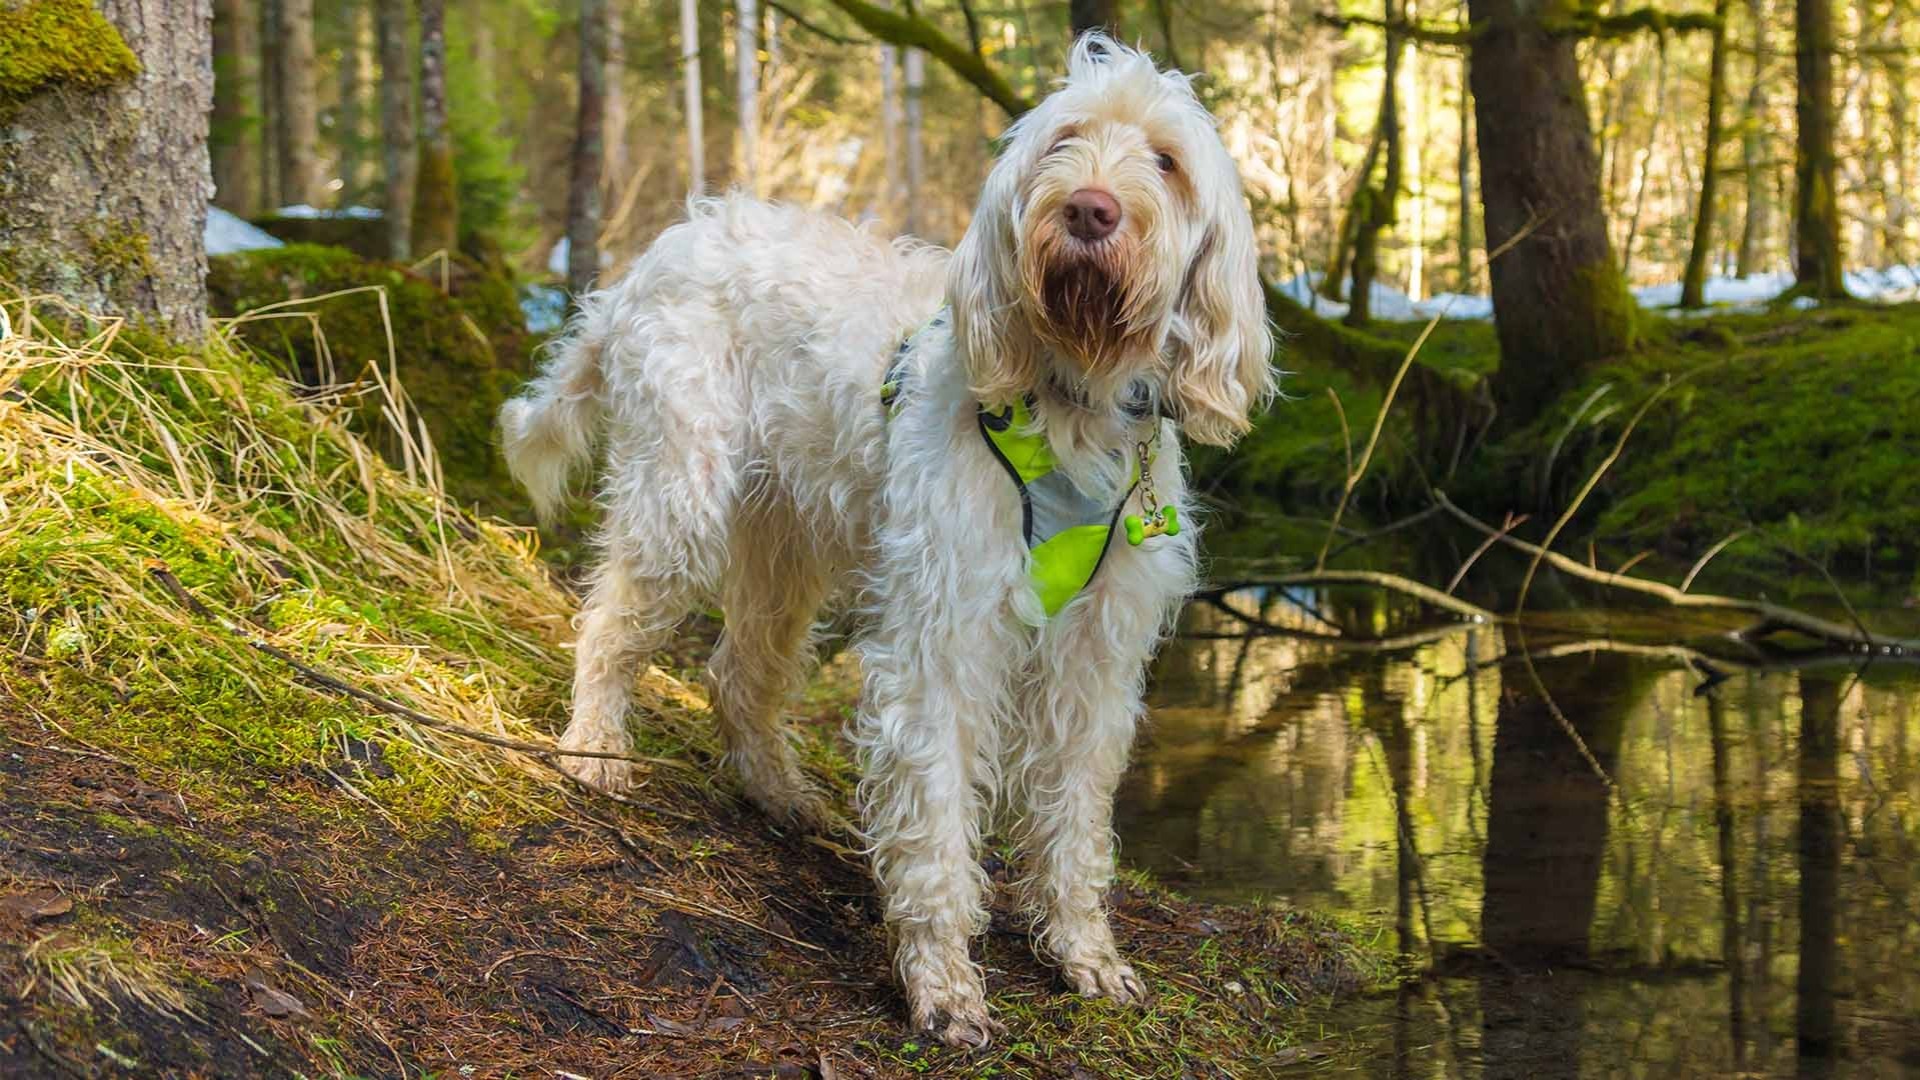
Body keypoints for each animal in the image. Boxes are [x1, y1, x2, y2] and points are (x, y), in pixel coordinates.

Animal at [495, 35, 1274, 1045]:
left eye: (1167, 162)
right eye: (1066, 140)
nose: (1088, 209)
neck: (1073, 401)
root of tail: (655, 255)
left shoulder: (1094, 658)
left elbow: (1073, 822)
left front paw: (1084, 953)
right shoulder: (941, 640)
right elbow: (936, 825)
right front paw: (943, 988)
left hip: (786, 546)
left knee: (737, 672)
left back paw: (781, 796)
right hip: (682, 501)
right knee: (608, 621)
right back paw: (594, 748)